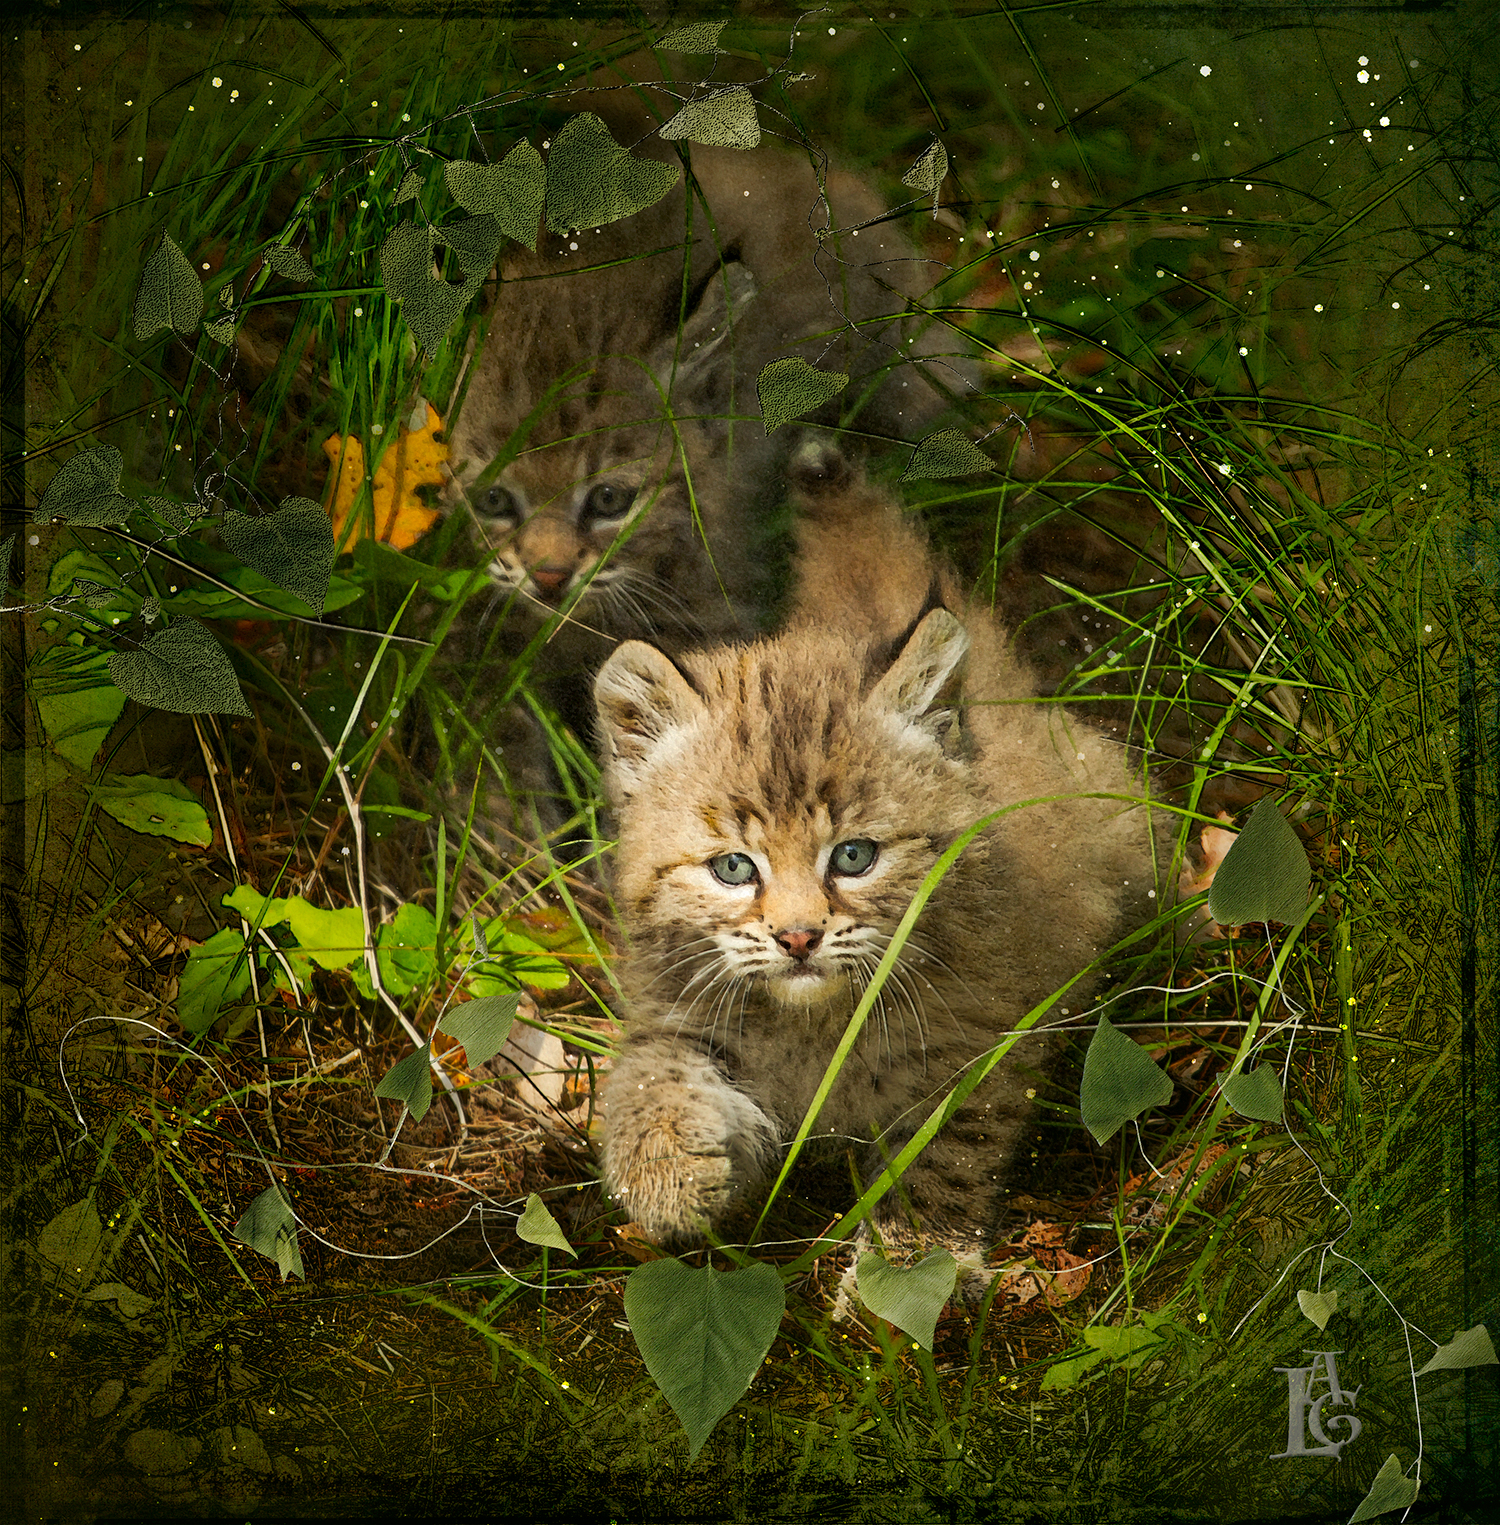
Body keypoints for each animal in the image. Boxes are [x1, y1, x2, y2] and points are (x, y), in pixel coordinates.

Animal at [594, 445, 1170, 1262]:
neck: (815, 1021)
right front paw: (665, 1171)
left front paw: (911, 1265)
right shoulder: (680, 998)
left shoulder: (976, 1044)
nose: (798, 939)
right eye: (733, 867)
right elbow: (648, 1071)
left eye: (854, 857)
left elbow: (940, 1159)